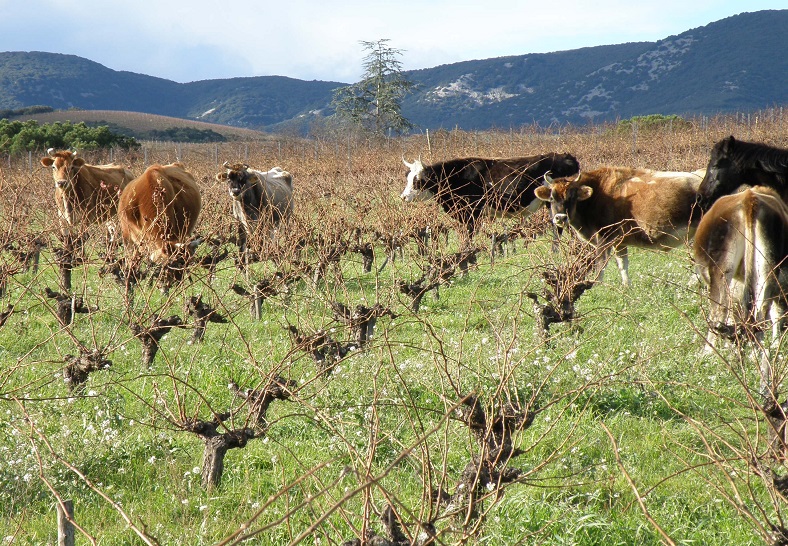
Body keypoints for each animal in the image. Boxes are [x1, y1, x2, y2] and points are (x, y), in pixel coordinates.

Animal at [400, 153, 580, 238]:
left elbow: (468, 237)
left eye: (418, 180)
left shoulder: (471, 213)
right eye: (407, 177)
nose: (403, 197)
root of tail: (566, 156)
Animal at [532, 166, 704, 284]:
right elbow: (623, 265)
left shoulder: (604, 239)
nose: (560, 218)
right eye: (552, 197)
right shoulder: (619, 242)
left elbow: (600, 266)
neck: (598, 193)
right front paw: (626, 286)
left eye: (572, 196)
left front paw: (596, 285)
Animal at [692, 187, 788, 400]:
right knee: (760, 314)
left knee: (719, 314)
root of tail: (749, 198)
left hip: (721, 271)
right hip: (767, 269)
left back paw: (711, 353)